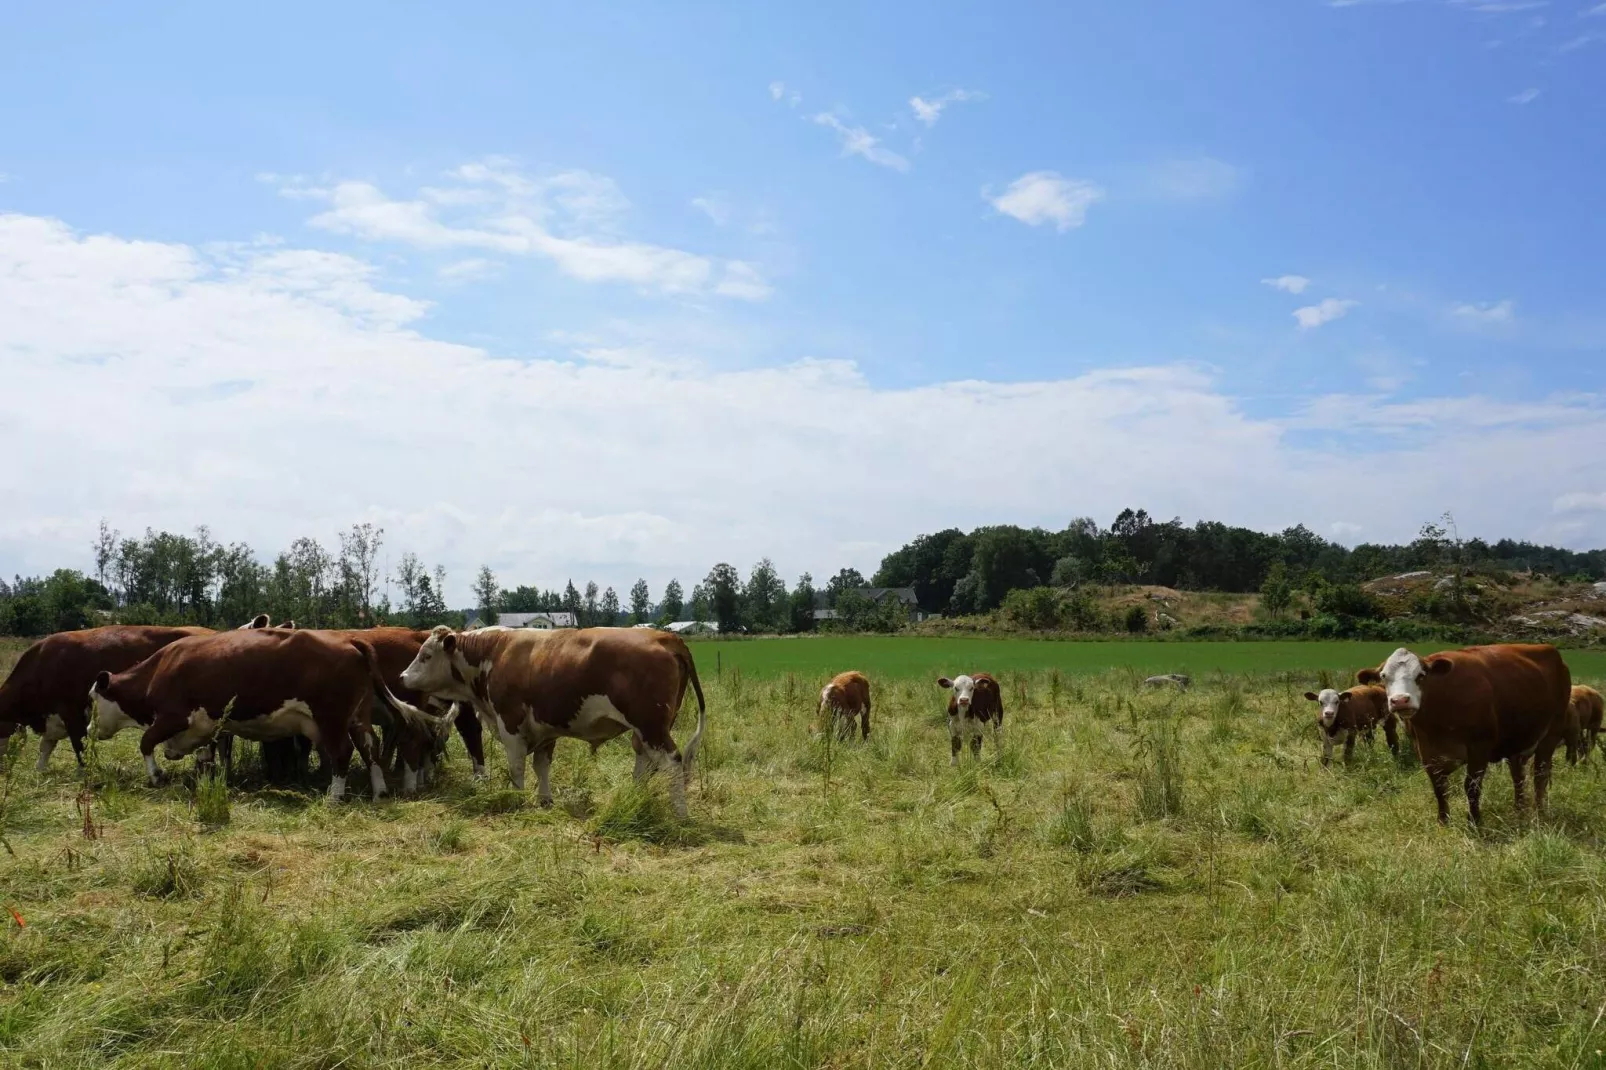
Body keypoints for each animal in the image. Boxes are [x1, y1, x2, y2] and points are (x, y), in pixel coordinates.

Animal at [0, 620, 213, 771]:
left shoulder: (72, 712)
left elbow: (79, 745)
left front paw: (86, 771)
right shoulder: (53, 719)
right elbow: (45, 747)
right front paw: (40, 771)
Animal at [90, 629, 443, 796]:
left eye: (92, 698)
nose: (91, 731)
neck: (162, 668)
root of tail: (351, 641)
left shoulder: (172, 717)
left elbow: (146, 743)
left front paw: (155, 776)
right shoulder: (204, 727)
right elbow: (205, 757)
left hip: (331, 718)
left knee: (343, 752)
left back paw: (335, 796)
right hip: (357, 717)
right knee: (370, 748)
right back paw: (379, 791)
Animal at [398, 620, 706, 812]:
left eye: (426, 655)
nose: (402, 677)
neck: (494, 652)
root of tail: (665, 636)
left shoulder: (510, 724)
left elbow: (517, 767)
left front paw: (517, 798)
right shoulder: (545, 728)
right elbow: (541, 765)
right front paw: (544, 800)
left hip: (651, 725)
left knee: (672, 762)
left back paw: (680, 812)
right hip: (648, 729)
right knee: (645, 761)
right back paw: (634, 797)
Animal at [1355, 642, 1567, 822]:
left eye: (1421, 675)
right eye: (1384, 677)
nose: (1400, 700)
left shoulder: (1479, 748)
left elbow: (1472, 787)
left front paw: (1474, 821)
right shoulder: (1425, 753)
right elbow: (1439, 788)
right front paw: (1443, 821)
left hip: (1550, 735)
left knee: (1540, 775)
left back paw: (1540, 812)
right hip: (1516, 743)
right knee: (1518, 776)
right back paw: (1519, 810)